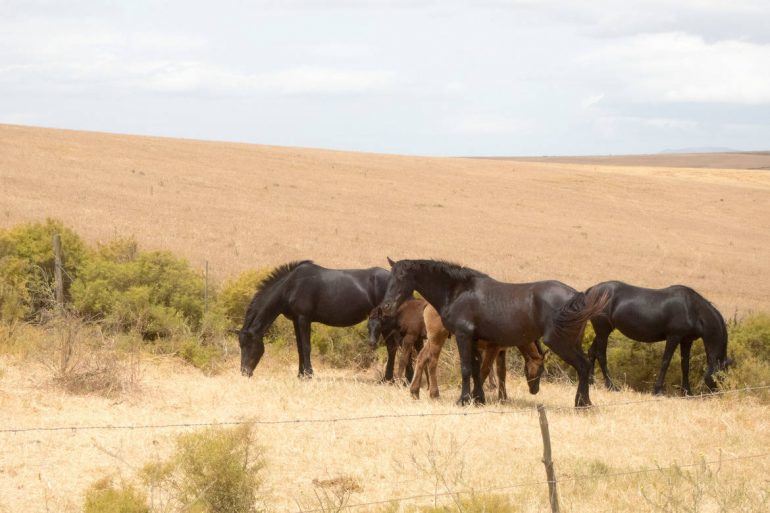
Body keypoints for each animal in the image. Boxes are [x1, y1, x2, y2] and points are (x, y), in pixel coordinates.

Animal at [237, 260, 388, 376]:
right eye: (241, 345)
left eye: (249, 345)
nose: (244, 372)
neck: (291, 286)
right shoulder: (296, 320)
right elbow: (299, 348)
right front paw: (300, 374)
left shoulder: (304, 319)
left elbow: (306, 347)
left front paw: (309, 374)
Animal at [408, 304, 544, 400]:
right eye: (540, 370)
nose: (535, 390)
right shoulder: (492, 349)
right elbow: (484, 370)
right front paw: (475, 396)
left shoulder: (501, 351)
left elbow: (501, 373)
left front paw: (503, 398)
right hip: (438, 338)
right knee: (432, 362)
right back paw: (434, 394)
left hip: (432, 340)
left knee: (422, 357)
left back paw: (414, 391)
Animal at [584, 282, 728, 394]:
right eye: (721, 375)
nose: (719, 393)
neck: (693, 309)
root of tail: (592, 290)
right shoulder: (673, 337)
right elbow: (665, 362)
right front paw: (658, 390)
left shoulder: (686, 341)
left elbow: (685, 366)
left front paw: (687, 392)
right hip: (603, 330)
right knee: (601, 355)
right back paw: (611, 386)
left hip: (603, 332)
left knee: (592, 352)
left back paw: (590, 382)